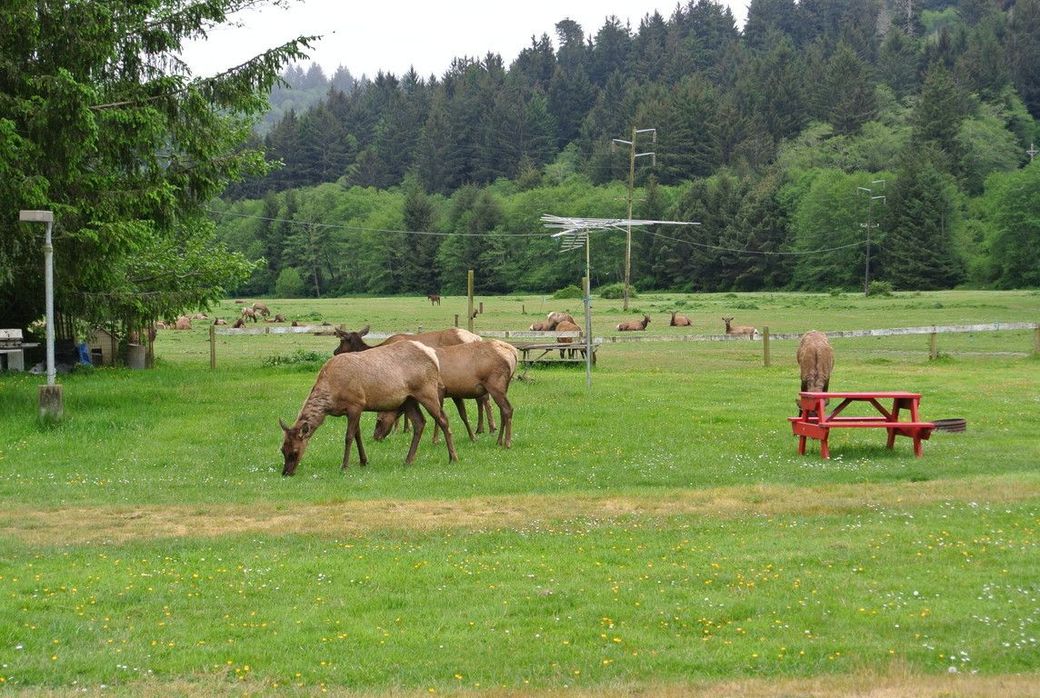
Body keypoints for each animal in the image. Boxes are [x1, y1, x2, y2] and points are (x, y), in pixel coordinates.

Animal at [278, 340, 458, 476]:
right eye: (282, 449)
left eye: (295, 451)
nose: (286, 473)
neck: (331, 397)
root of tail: (433, 356)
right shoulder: (351, 410)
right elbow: (358, 435)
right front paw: (363, 461)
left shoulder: (356, 403)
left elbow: (349, 436)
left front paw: (344, 466)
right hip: (409, 399)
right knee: (420, 422)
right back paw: (408, 460)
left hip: (427, 391)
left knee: (443, 419)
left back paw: (453, 458)